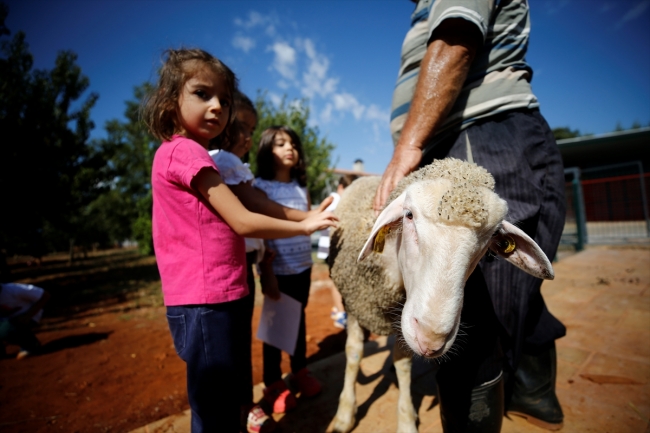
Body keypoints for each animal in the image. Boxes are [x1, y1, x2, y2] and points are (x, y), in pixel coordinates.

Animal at [324, 159, 552, 432]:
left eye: (493, 236)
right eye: (408, 215)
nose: (431, 338)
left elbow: (403, 362)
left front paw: (406, 420)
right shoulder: (355, 305)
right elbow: (354, 353)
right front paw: (345, 414)